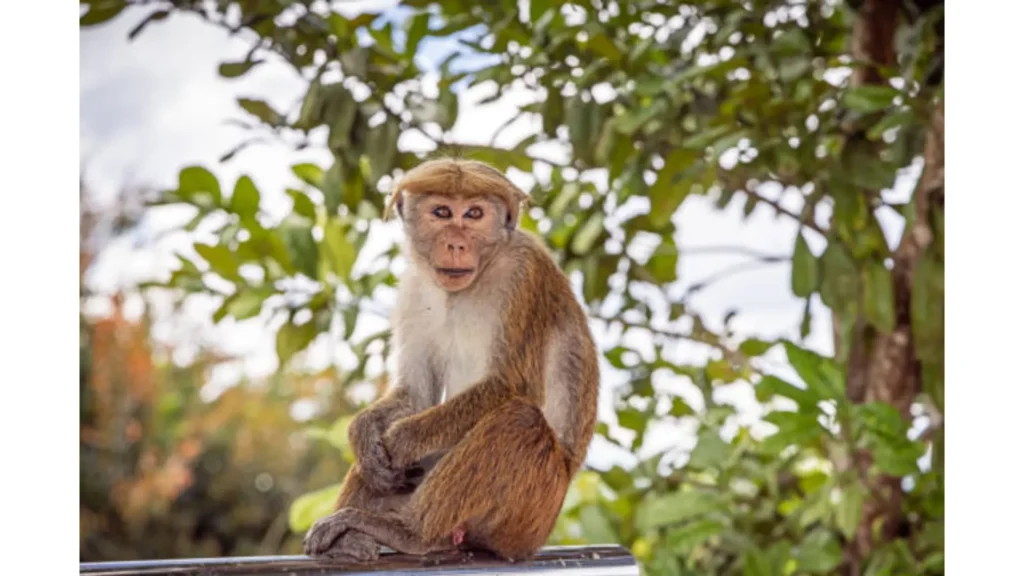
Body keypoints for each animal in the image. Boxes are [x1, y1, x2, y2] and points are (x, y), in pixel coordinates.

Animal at [302, 157, 600, 562]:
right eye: (442, 212)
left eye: (474, 214)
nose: (456, 243)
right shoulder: (414, 288)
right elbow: (416, 395)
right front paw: (363, 433)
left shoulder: (526, 272)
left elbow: (514, 386)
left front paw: (402, 440)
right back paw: (353, 537)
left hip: (529, 514)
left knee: (520, 420)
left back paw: (411, 533)